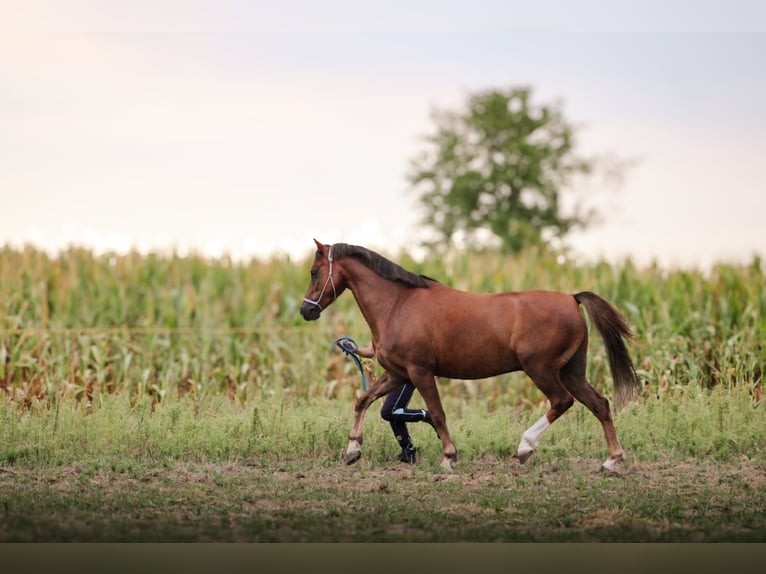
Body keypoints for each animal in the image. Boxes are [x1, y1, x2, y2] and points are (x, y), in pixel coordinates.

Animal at [300, 241, 640, 470]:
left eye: (314, 271)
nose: (306, 310)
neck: (398, 305)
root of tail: (572, 298)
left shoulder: (420, 372)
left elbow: (437, 413)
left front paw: (449, 458)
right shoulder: (397, 373)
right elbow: (363, 401)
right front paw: (352, 451)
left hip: (541, 369)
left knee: (562, 401)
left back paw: (525, 447)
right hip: (572, 371)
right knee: (599, 404)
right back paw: (611, 462)